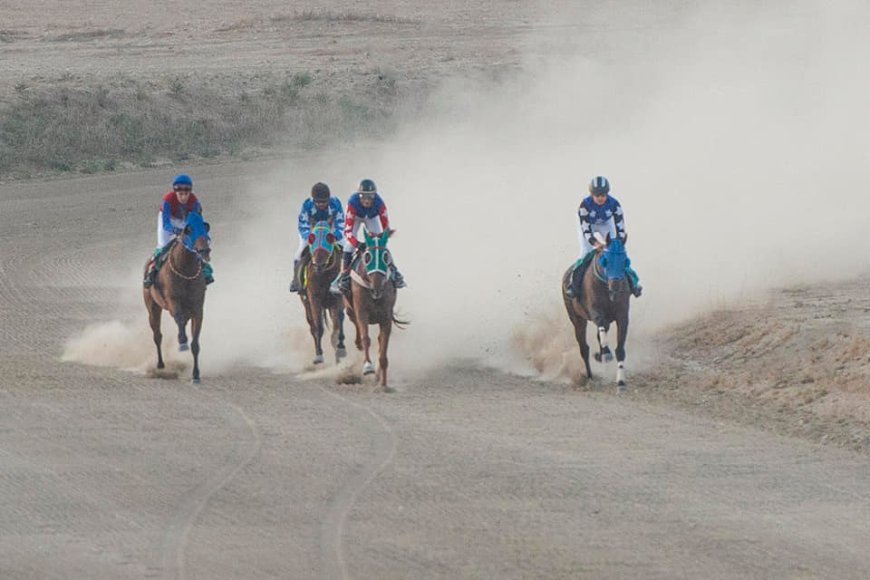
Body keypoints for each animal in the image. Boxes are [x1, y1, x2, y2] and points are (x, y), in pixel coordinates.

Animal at [144, 211, 212, 382]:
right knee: (157, 335)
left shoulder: (197, 309)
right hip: (152, 307)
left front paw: (196, 374)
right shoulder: (173, 301)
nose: (204, 251)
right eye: (189, 231)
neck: (185, 270)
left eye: (205, 230)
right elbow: (179, 320)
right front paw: (182, 342)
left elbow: (195, 344)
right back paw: (161, 364)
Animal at [300, 221, 348, 362]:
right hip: (306, 303)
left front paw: (339, 348)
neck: (324, 275)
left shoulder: (337, 298)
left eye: (329, 237)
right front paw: (319, 354)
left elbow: (338, 323)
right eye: (311, 237)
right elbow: (318, 326)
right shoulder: (314, 298)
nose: (319, 264)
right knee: (311, 324)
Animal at [342, 229, 408, 392]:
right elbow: (366, 338)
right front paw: (368, 367)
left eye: (386, 255)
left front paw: (383, 383)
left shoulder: (386, 318)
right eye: (367, 257)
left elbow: (383, 347)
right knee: (356, 326)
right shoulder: (362, 313)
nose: (377, 286)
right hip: (349, 310)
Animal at [564, 238, 632, 392]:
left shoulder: (622, 317)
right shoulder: (595, 311)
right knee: (584, 348)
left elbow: (620, 350)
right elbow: (600, 324)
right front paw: (606, 353)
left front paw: (621, 382)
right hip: (577, 319)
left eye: (625, 260)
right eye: (605, 261)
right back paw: (590, 376)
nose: (616, 286)